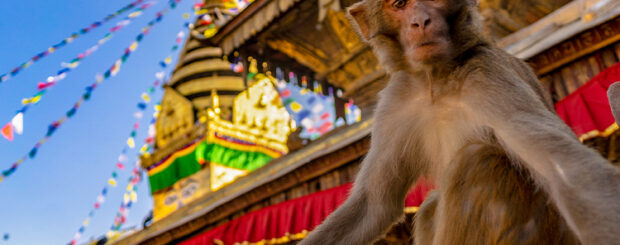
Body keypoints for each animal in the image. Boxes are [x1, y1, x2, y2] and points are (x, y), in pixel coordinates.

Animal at [300, 0, 620, 245]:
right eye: (400, 4)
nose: (421, 22)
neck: (437, 81)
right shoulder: (395, 101)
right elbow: (373, 206)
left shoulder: (489, 74)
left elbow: (567, 172)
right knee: (431, 206)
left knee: (478, 159)